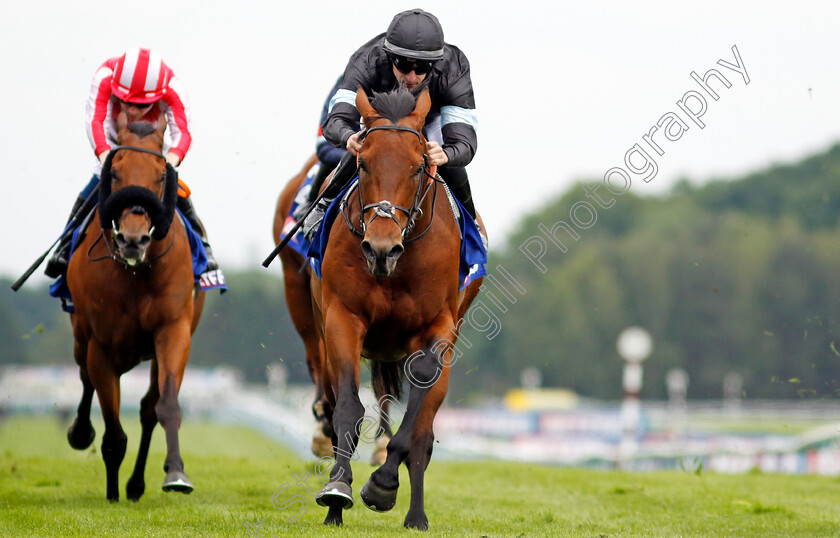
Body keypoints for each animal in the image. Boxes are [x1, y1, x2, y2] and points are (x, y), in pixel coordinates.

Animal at [64, 111, 205, 500]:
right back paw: (82, 434)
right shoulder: (101, 346)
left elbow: (165, 406)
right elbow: (113, 431)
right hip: (81, 336)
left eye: (161, 175)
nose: (133, 238)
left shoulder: (174, 331)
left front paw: (176, 474)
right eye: (115, 172)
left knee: (147, 408)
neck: (136, 271)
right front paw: (112, 492)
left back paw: (136, 484)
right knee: (84, 377)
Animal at [306, 88, 486, 528]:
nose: (381, 248)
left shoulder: (438, 328)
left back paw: (416, 516)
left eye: (418, 166)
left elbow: (414, 424)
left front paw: (382, 486)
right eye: (362, 163)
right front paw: (337, 490)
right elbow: (348, 409)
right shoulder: (343, 318)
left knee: (423, 434)